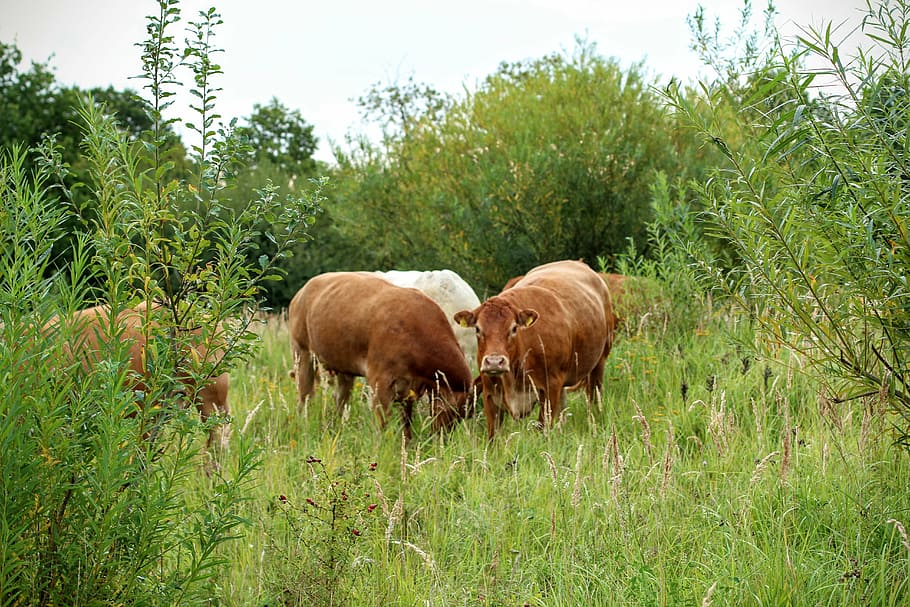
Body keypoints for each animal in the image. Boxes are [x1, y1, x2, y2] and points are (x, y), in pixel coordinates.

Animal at [288, 272, 474, 439]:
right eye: (453, 410)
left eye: (463, 415)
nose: (441, 439)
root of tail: (305, 288)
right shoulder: (380, 381)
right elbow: (383, 424)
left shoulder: (409, 387)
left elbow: (406, 424)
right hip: (301, 351)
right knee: (304, 396)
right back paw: (302, 424)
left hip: (342, 364)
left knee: (340, 399)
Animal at [454, 260, 615, 439]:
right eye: (477, 329)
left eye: (514, 328)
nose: (494, 362)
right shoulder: (490, 393)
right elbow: (493, 435)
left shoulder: (551, 387)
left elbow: (543, 429)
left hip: (599, 361)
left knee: (594, 396)